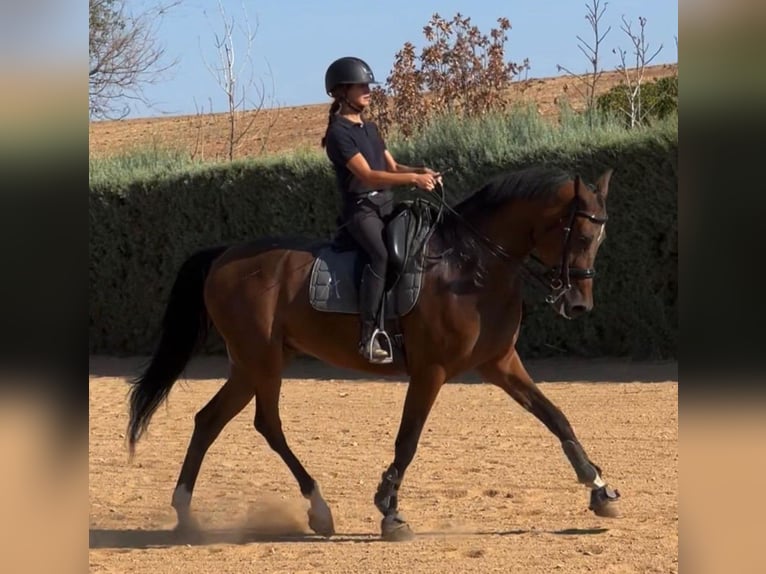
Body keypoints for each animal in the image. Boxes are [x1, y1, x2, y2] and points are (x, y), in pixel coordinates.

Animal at [124, 164, 616, 544]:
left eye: (599, 238)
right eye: (580, 234)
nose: (578, 304)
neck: (469, 265)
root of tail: (225, 255)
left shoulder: (500, 364)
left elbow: (555, 417)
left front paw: (599, 488)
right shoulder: (431, 371)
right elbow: (408, 439)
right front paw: (389, 511)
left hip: (249, 365)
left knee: (209, 420)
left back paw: (186, 514)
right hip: (262, 361)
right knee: (267, 423)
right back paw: (318, 509)